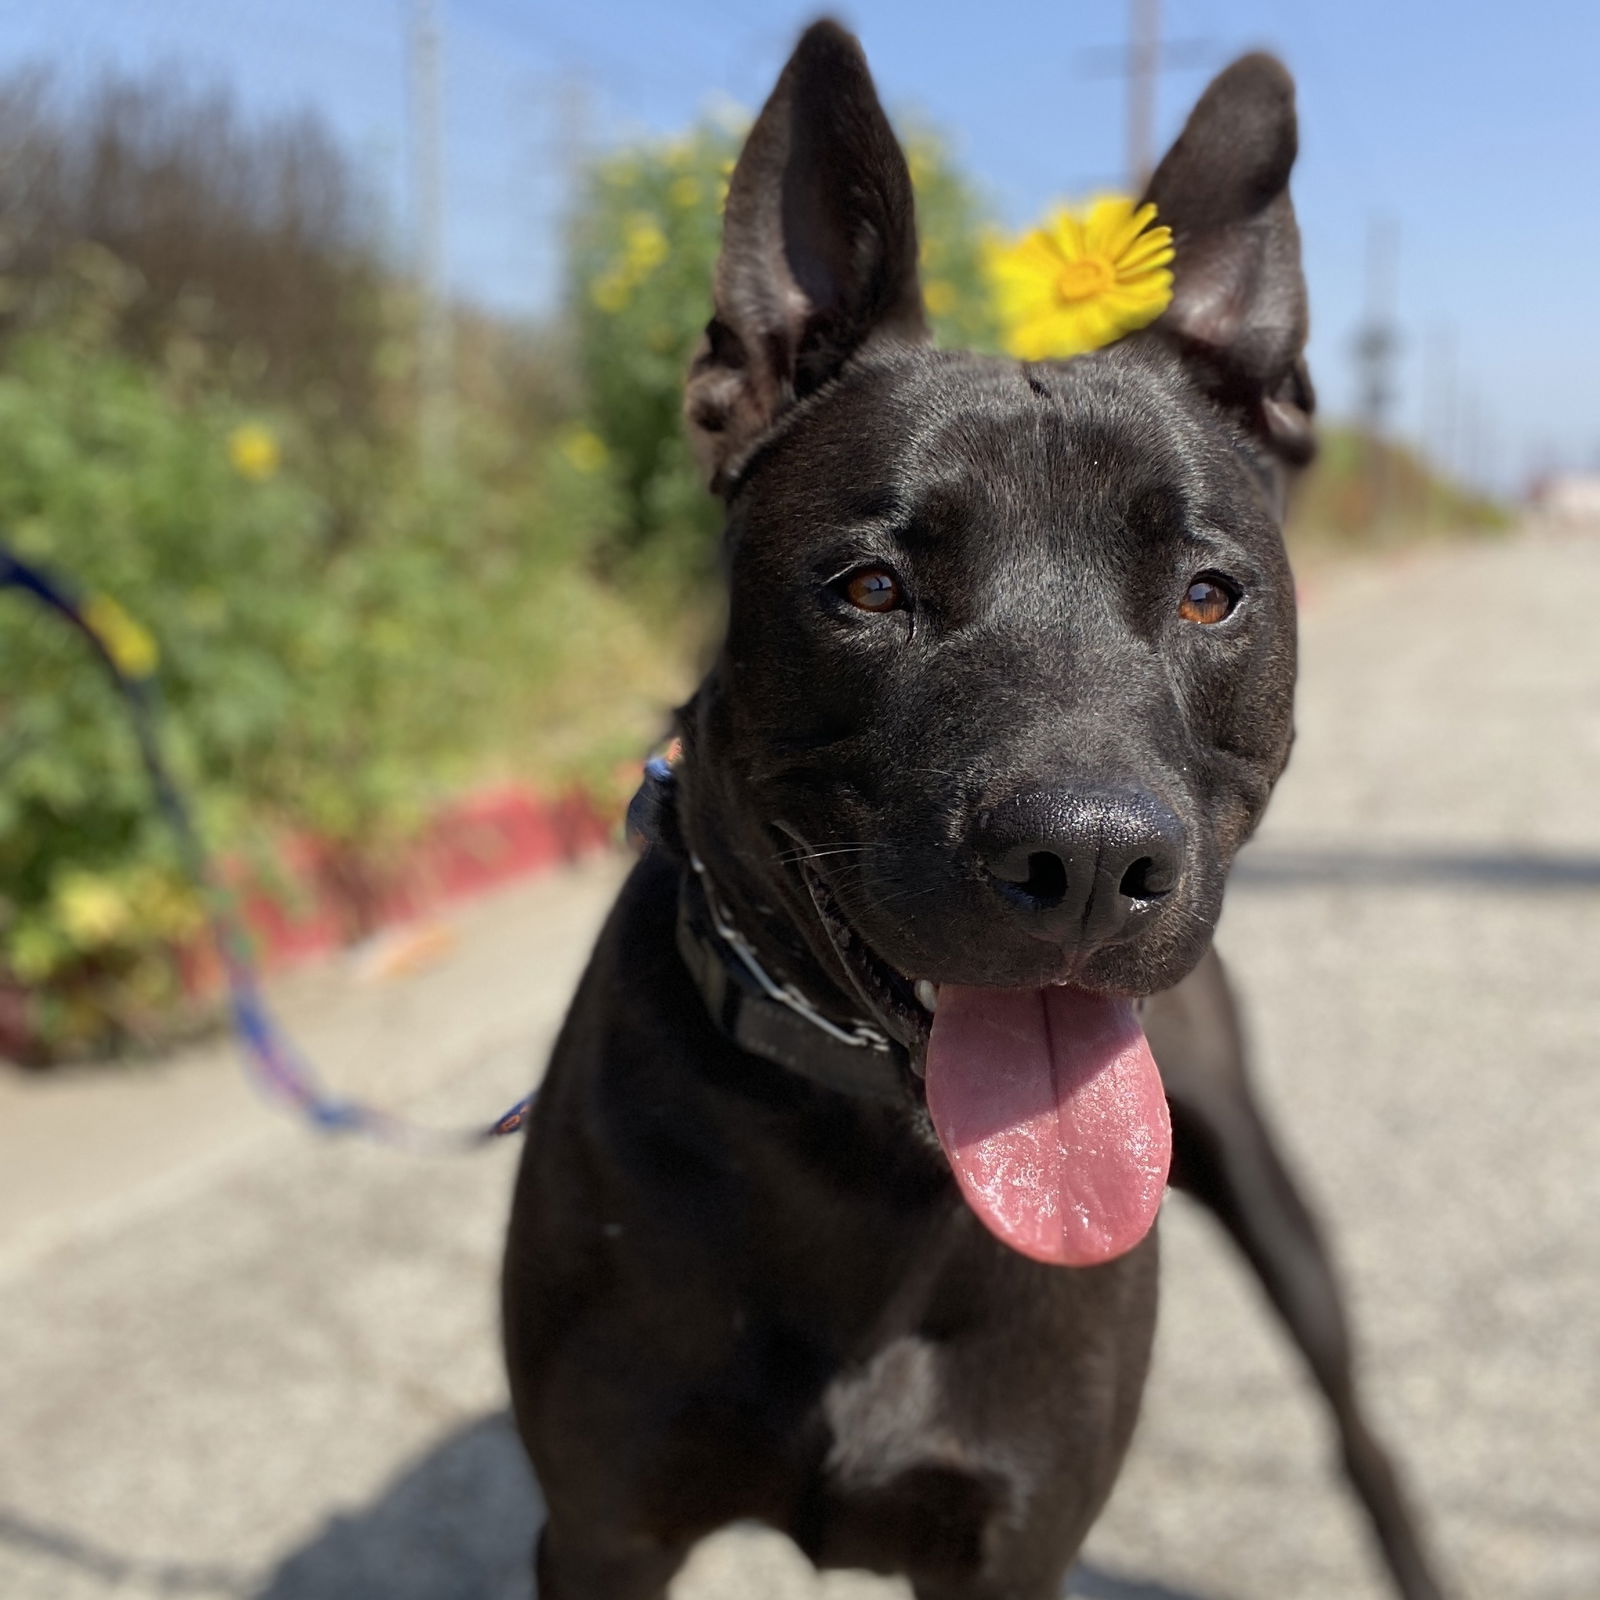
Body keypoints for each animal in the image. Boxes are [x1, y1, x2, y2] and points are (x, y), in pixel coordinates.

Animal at [505, 25, 1446, 1600]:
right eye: (870, 587)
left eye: (1210, 594)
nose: (1089, 858)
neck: (873, 1159)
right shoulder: (601, 1529)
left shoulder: (1016, 1542)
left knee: (1357, 1427)